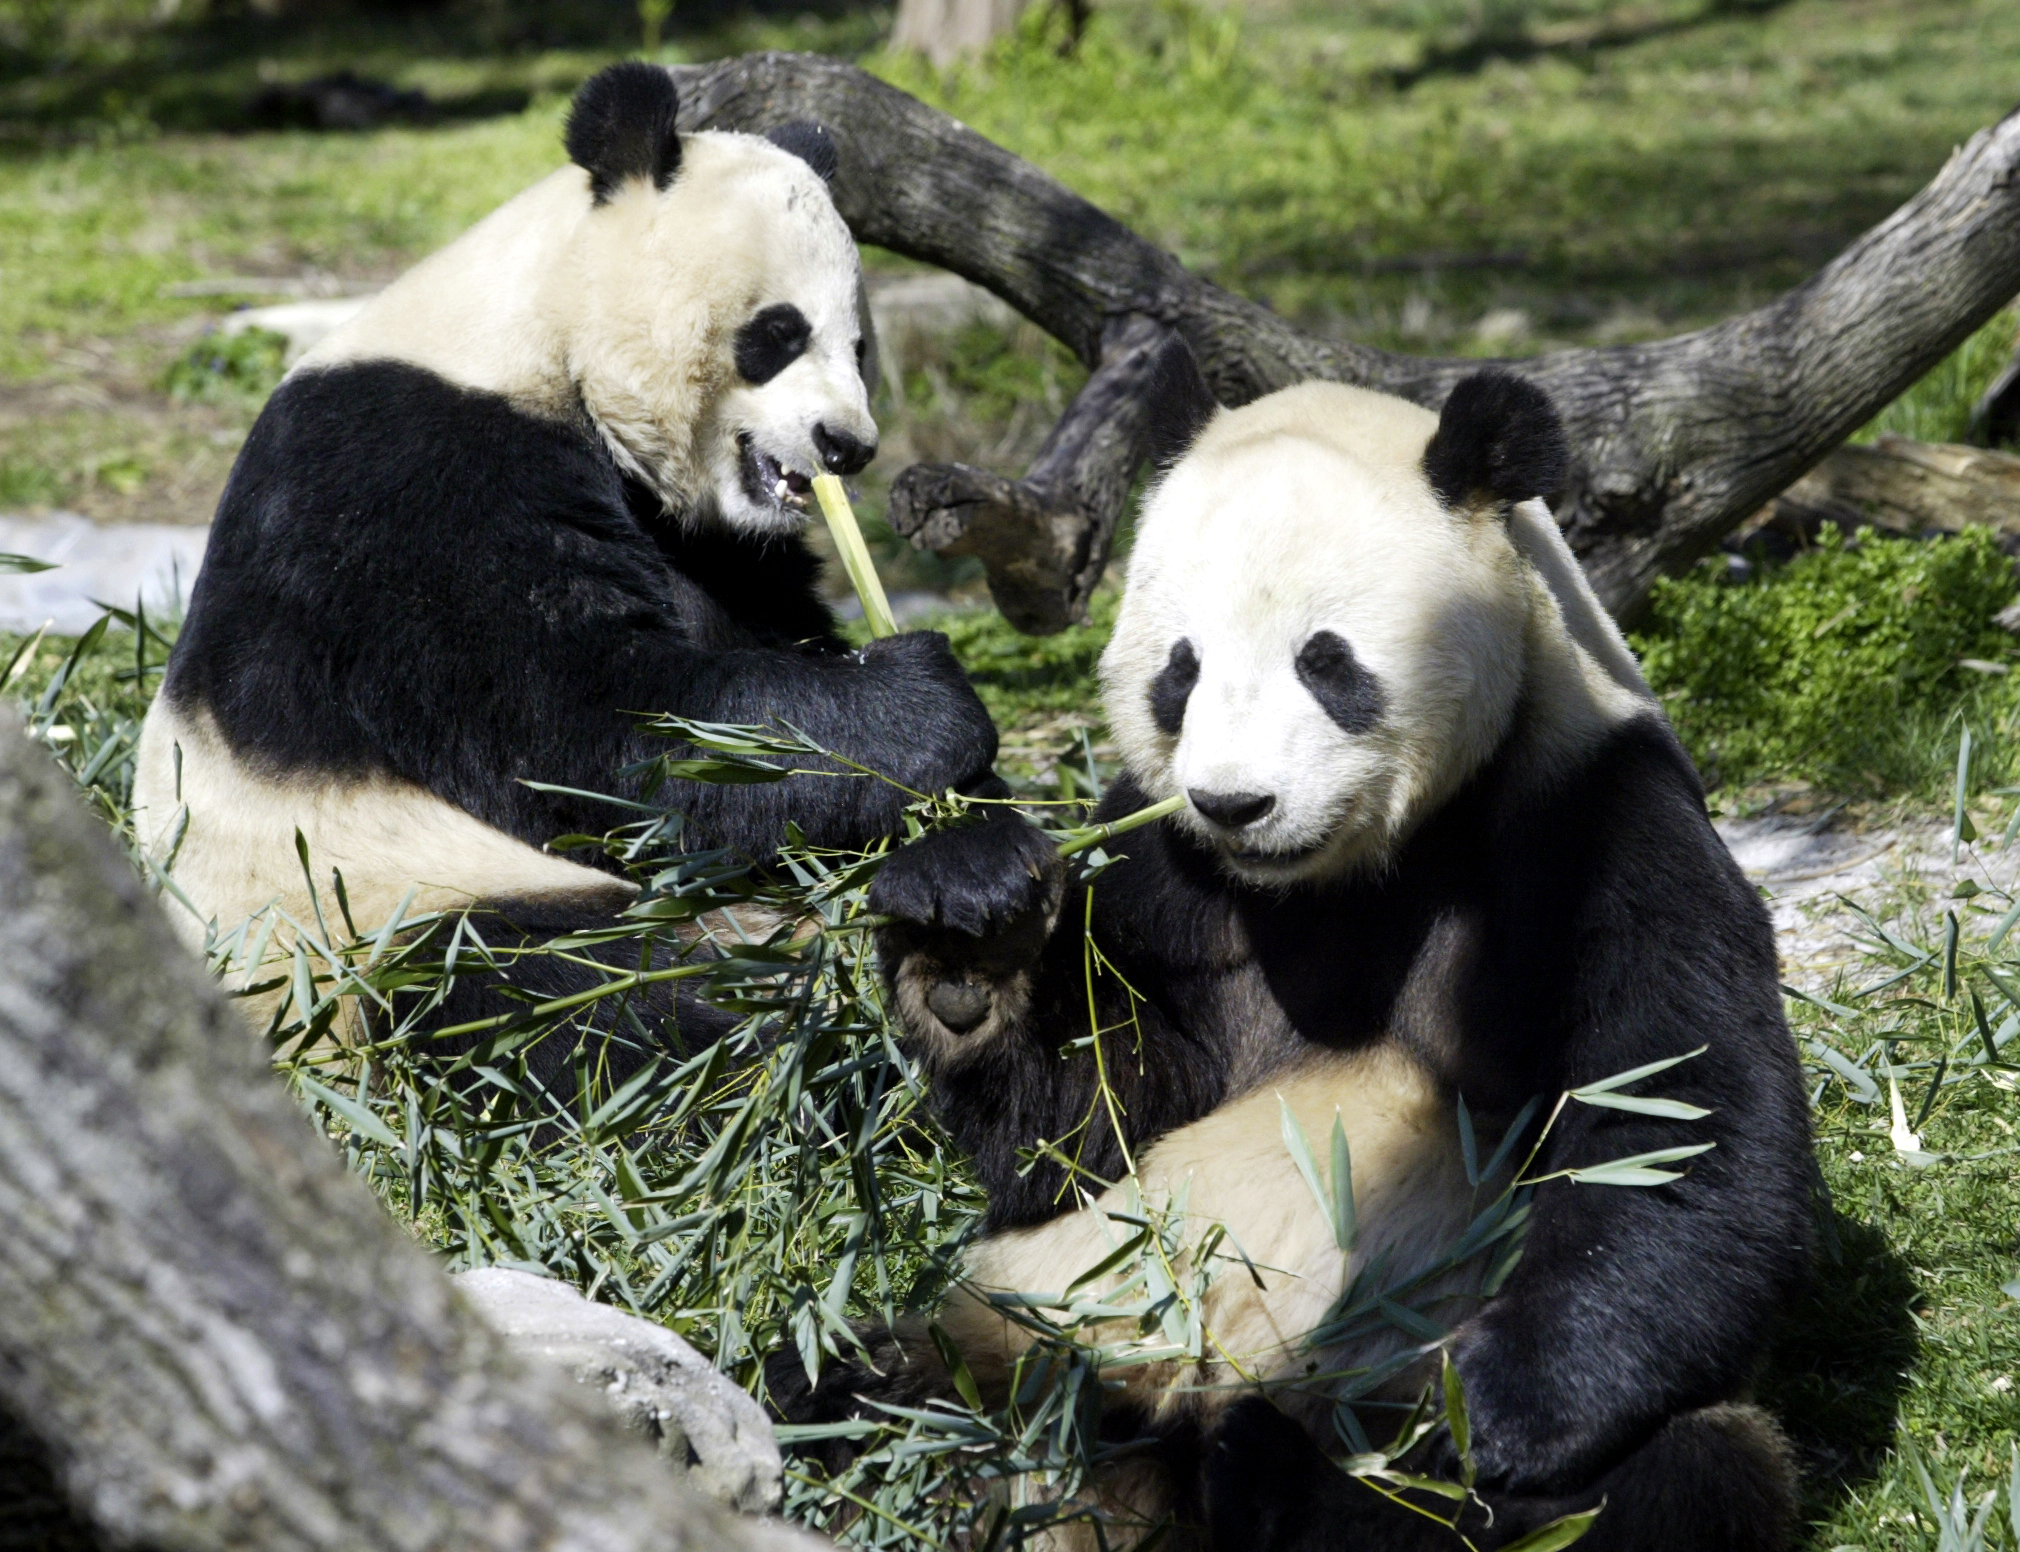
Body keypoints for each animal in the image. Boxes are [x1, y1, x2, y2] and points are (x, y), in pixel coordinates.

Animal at [130, 60, 997, 1050]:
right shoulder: (412, 481)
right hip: (361, 916)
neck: (542, 331)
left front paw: (970, 840)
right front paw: (925, 705)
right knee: (544, 999)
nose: (846, 446)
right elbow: (589, 725)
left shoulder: (715, 545)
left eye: (858, 344)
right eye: (777, 334)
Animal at [771, 351, 1818, 1552]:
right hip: (1035, 1337)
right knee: (849, 1386)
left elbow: (1676, 1113)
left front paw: (1501, 1408)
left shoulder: (1590, 813)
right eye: (1180, 668)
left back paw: (1275, 1476)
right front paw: (966, 938)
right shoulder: (1164, 864)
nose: (1237, 803)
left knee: (1654, 1480)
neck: (1339, 873)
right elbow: (1092, 1126)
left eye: (1327, 662)